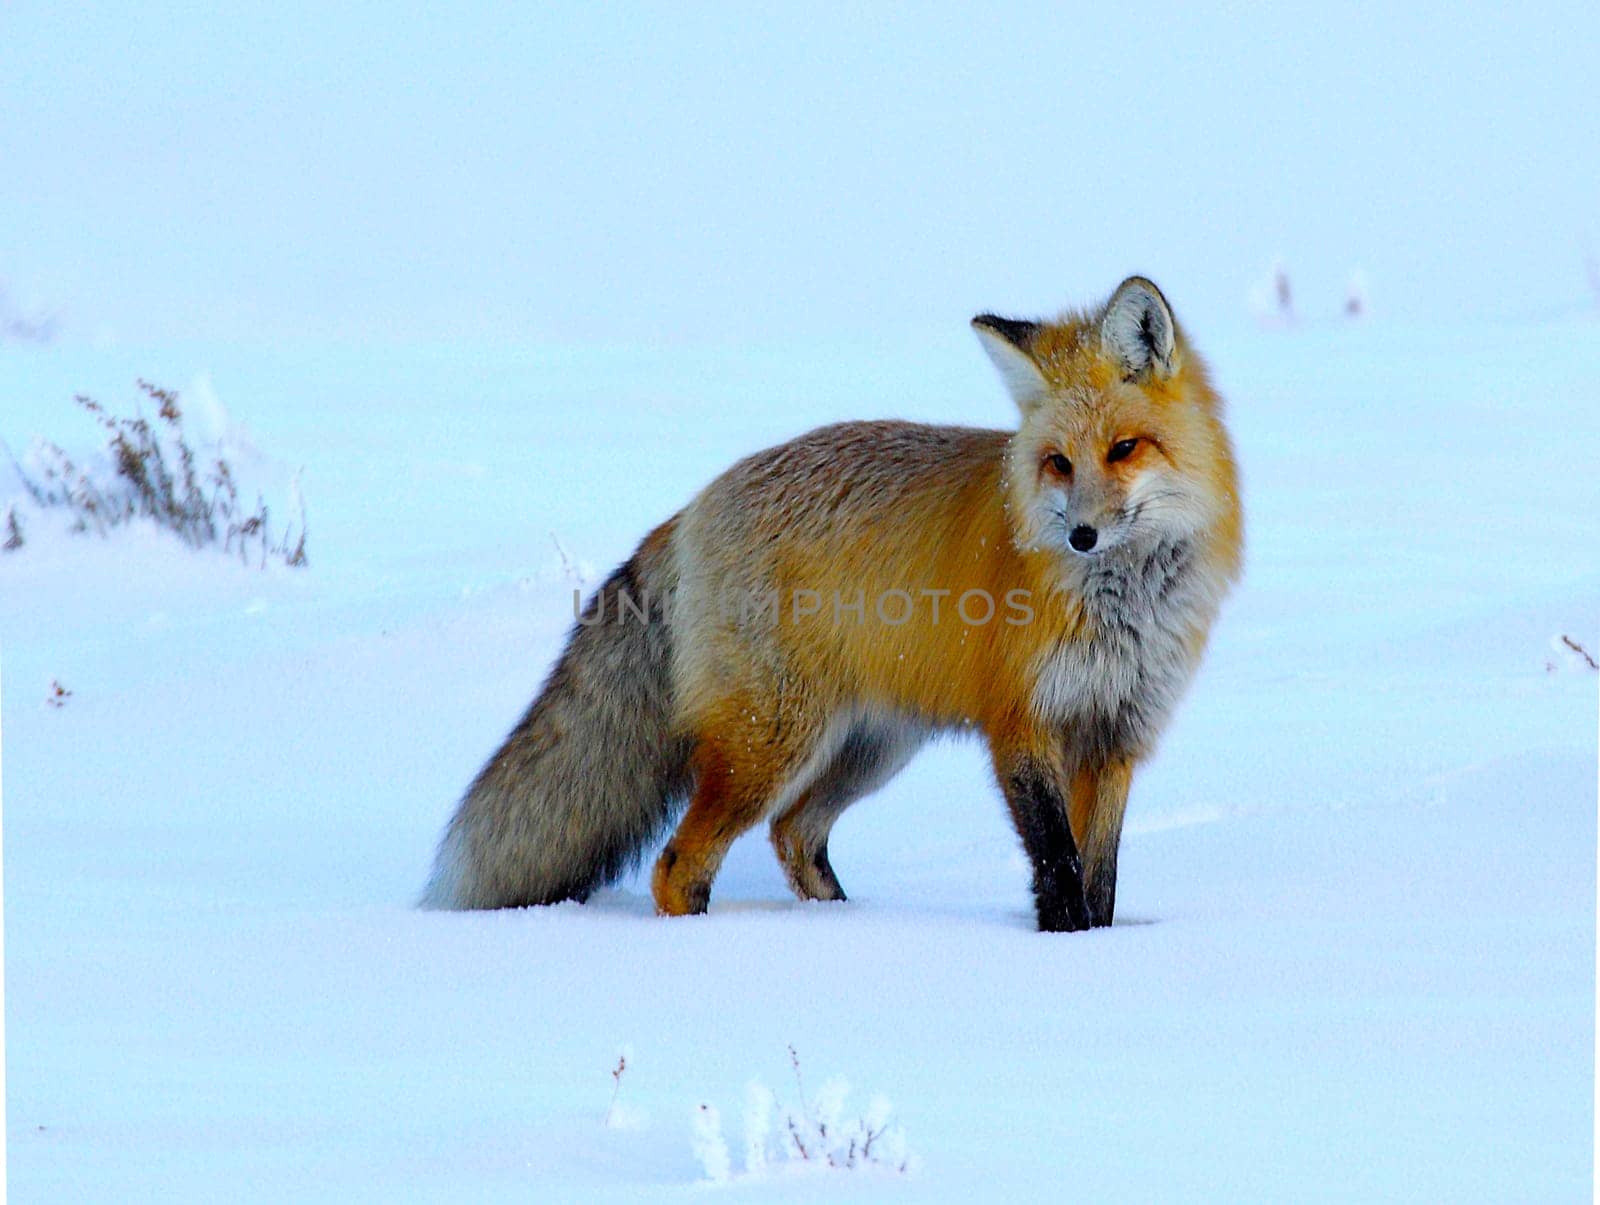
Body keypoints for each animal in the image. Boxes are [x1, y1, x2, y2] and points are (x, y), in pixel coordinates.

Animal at [422, 275, 1235, 928]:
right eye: (1059, 463)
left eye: (1124, 448)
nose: (1082, 537)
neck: (1122, 608)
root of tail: (694, 503)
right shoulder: (1023, 726)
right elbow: (1057, 868)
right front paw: (1066, 950)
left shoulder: (1118, 735)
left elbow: (1100, 879)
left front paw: (1096, 950)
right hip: (775, 741)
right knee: (680, 863)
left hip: (869, 746)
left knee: (793, 834)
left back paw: (840, 925)